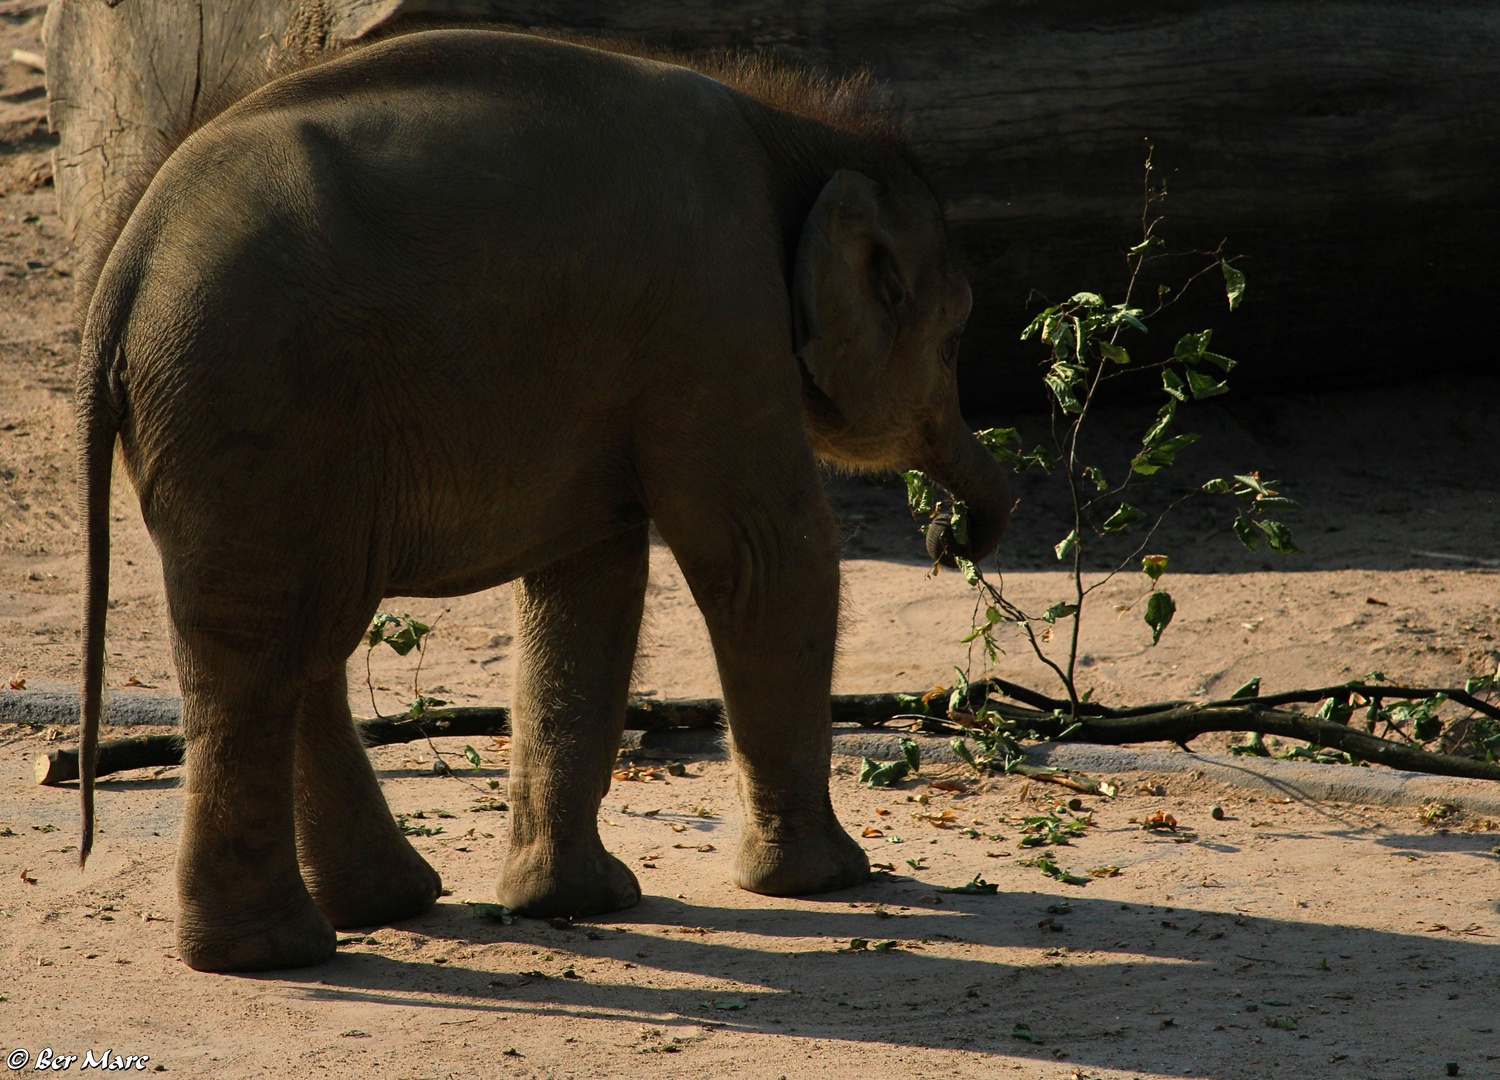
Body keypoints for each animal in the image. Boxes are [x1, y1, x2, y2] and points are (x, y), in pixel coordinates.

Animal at [70, 29, 1008, 972]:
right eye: (955, 335)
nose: (948, 537)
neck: (792, 134)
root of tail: (120, 276)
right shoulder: (717, 315)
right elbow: (762, 557)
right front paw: (831, 882)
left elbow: (586, 582)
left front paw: (572, 903)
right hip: (258, 400)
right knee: (270, 650)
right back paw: (276, 952)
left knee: (286, 645)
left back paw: (379, 910)